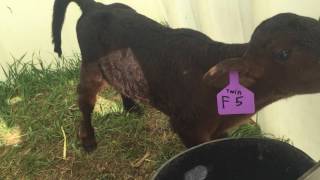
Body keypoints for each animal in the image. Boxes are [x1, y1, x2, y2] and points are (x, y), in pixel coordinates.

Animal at [52, 0, 320, 152]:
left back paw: (131, 107)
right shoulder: (186, 127)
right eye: (283, 53)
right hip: (90, 67)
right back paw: (88, 140)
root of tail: (97, 7)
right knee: (84, 101)